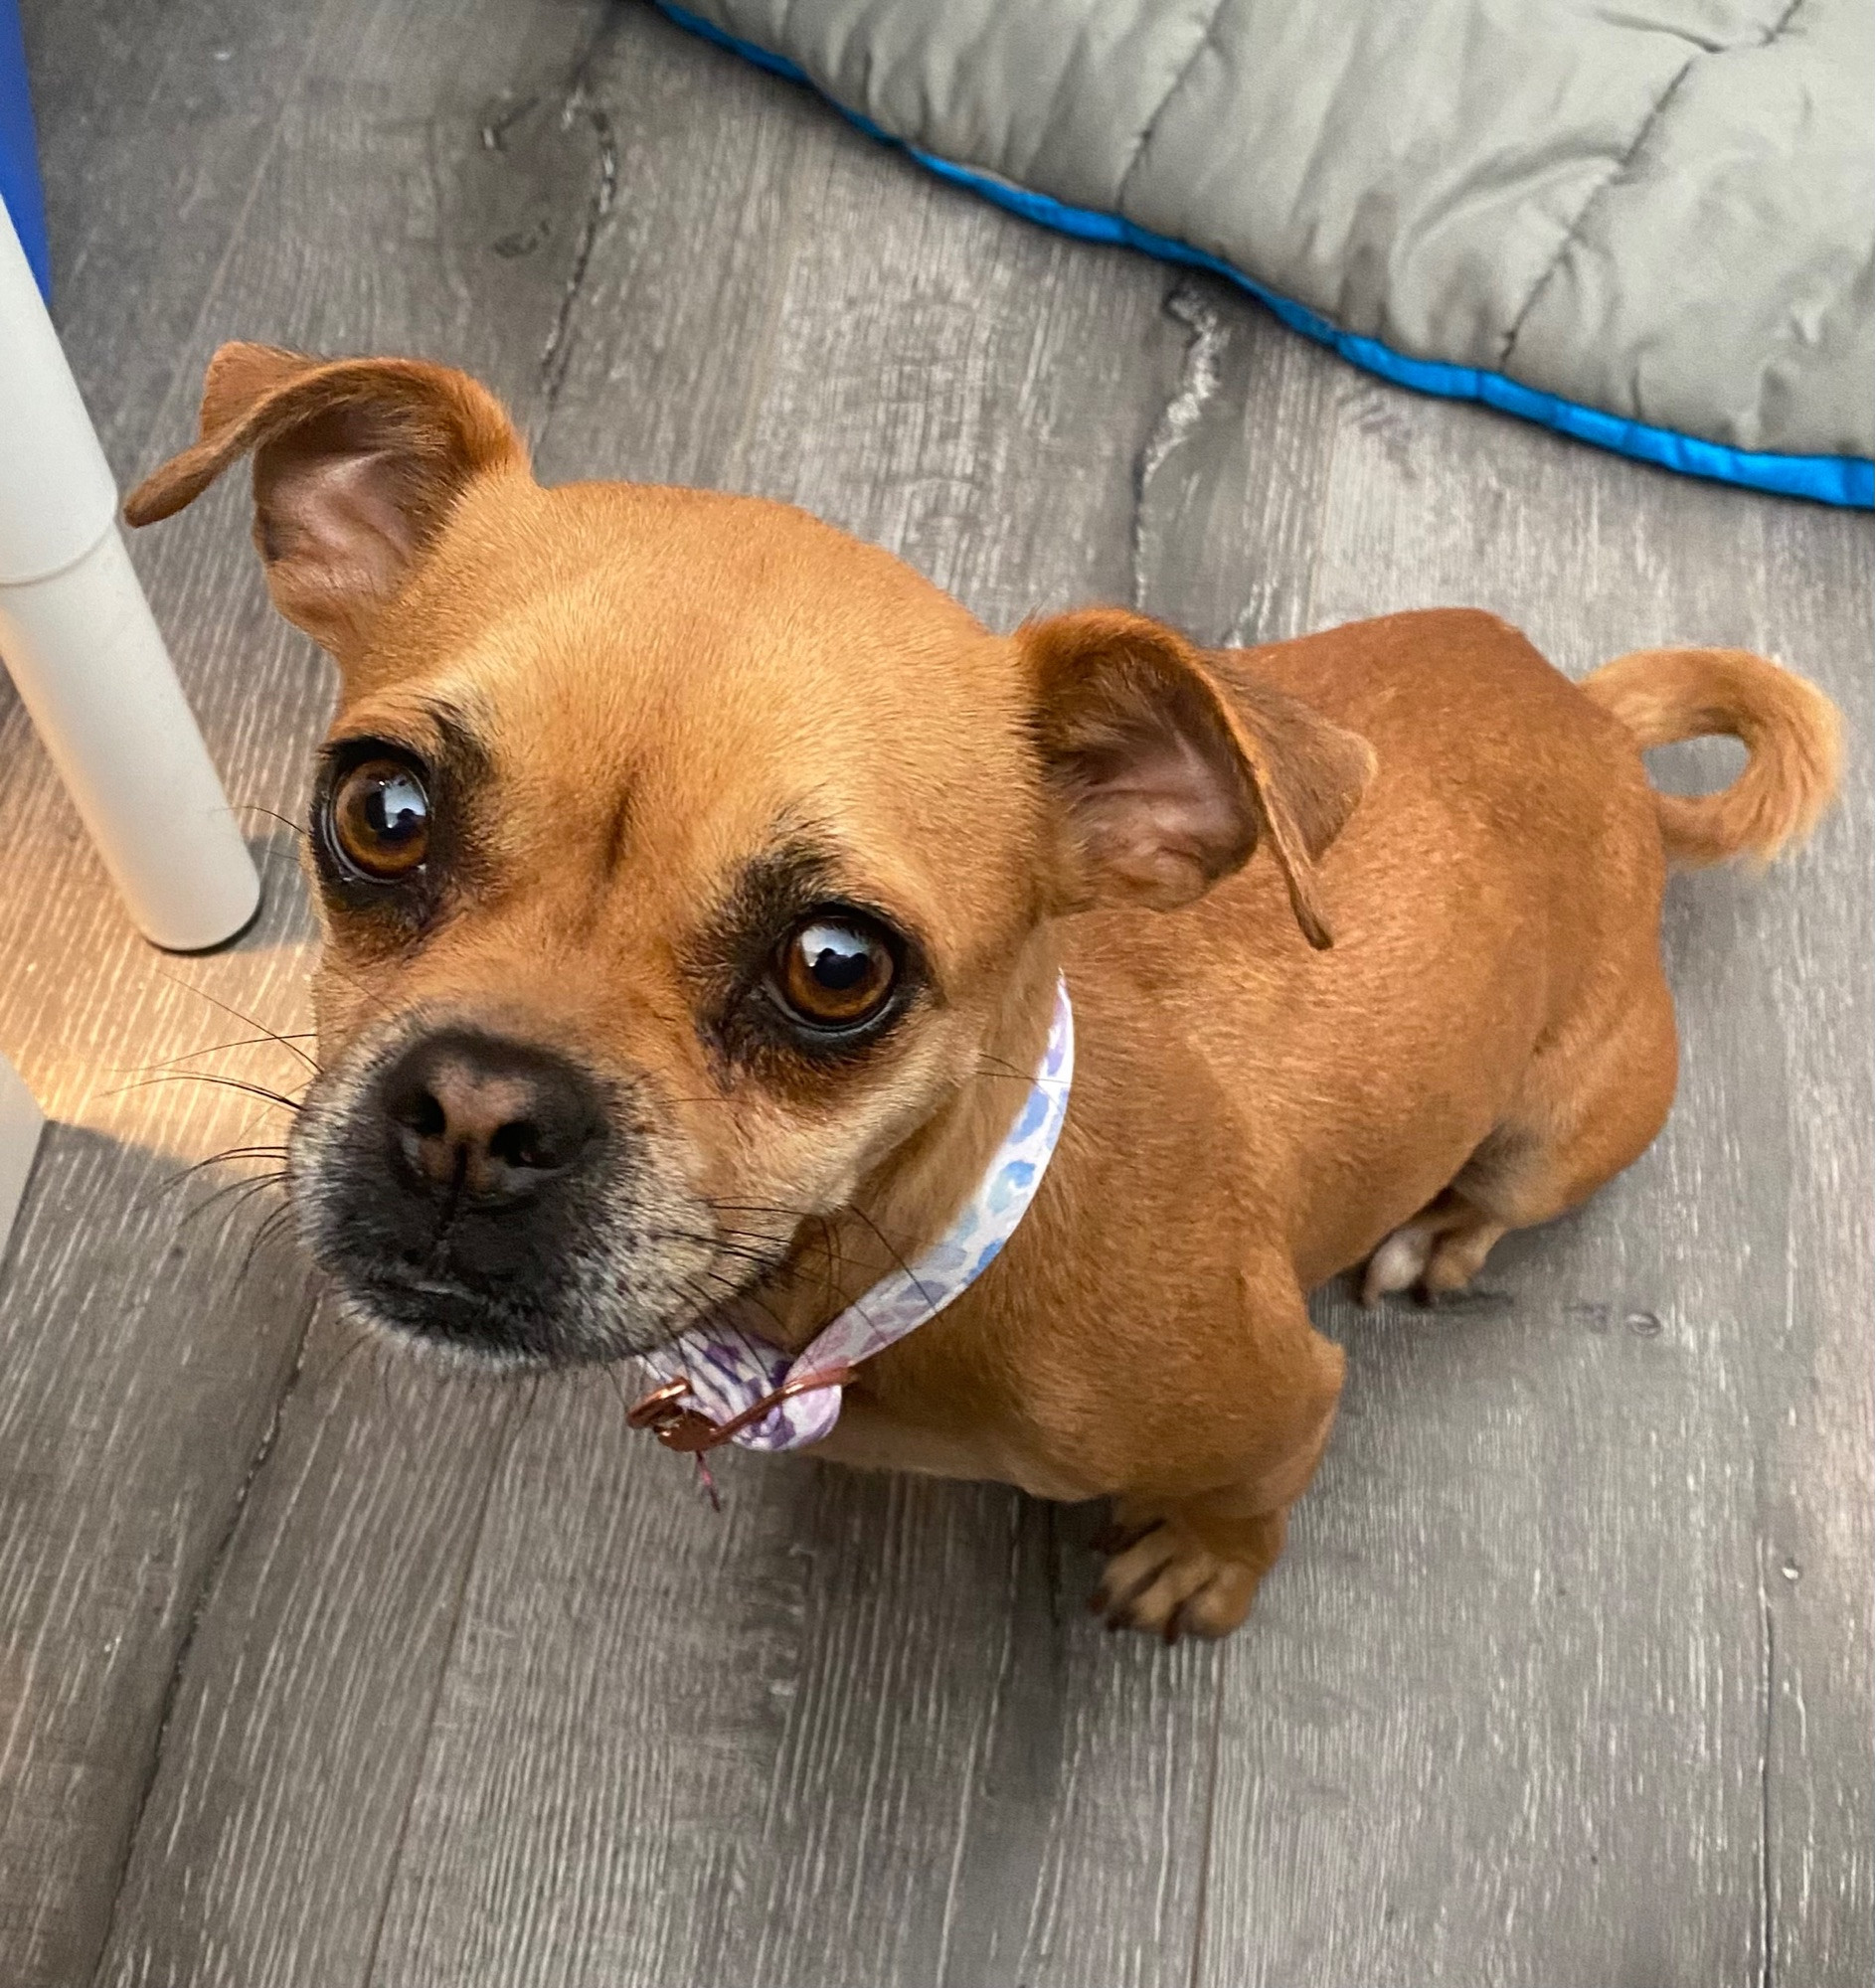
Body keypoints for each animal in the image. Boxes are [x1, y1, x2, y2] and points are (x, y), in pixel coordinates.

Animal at [127, 350, 1844, 1638]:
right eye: (380, 811)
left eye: (835, 970)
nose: (473, 1113)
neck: (918, 1247)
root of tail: (1596, 728)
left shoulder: (1287, 1401)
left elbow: (1255, 1501)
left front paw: (1203, 1570)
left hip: (1564, 1124)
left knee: (1501, 1193)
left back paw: (1441, 1234)